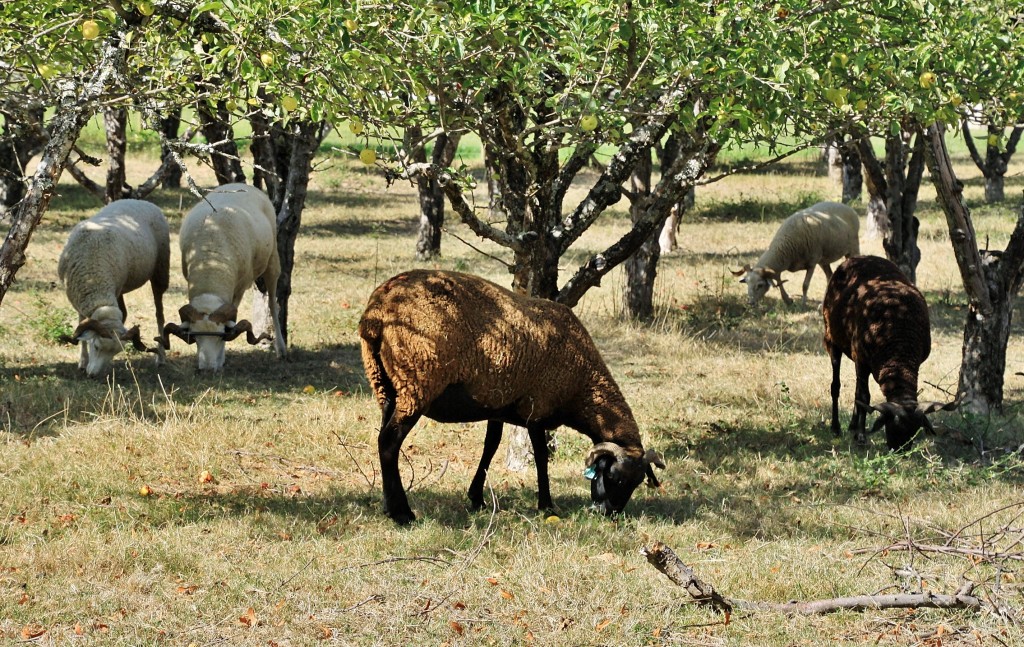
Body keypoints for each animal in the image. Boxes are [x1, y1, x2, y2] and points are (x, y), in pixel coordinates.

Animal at [57, 199, 167, 376]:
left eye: (115, 353)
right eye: (96, 346)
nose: (93, 375)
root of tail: (140, 201)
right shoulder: (79, 300)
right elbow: (81, 325)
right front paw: (82, 361)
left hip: (160, 270)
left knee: (159, 315)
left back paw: (161, 357)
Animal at [161, 184, 286, 370]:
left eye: (221, 336)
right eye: (195, 336)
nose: (207, 369)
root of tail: (241, 185)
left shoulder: (239, 288)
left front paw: (221, 359)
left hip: (272, 261)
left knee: (271, 303)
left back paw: (281, 349)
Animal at [819, 253, 954, 450]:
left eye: (914, 430)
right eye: (893, 426)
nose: (899, 451)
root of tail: (858, 257)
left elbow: (861, 397)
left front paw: (858, 431)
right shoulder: (862, 359)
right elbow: (864, 397)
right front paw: (861, 436)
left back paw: (852, 425)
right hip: (832, 338)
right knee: (836, 385)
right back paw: (836, 427)